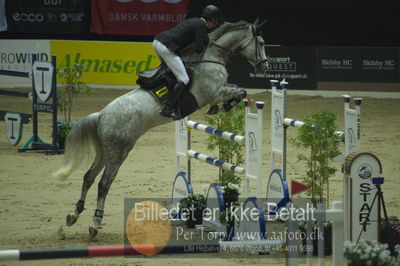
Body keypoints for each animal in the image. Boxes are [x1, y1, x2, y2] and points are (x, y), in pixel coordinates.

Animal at [54, 19, 268, 239]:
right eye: (261, 43)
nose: (264, 66)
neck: (211, 58)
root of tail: (101, 115)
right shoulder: (214, 92)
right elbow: (240, 91)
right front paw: (223, 106)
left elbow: (238, 89)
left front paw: (221, 107)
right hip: (118, 152)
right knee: (104, 183)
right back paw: (95, 224)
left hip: (104, 151)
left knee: (89, 177)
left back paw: (74, 215)